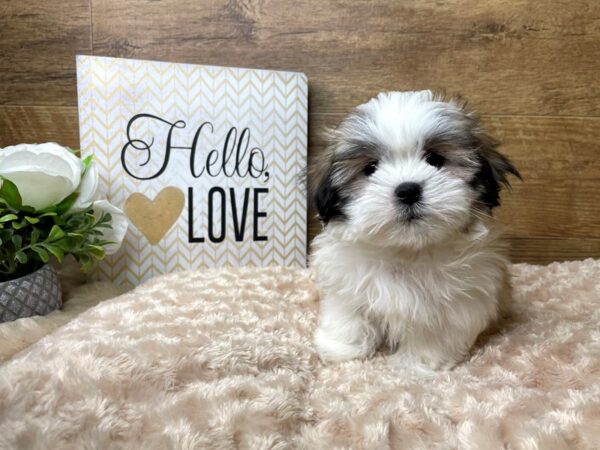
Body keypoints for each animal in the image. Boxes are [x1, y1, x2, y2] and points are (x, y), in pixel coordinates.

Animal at [310, 89, 520, 370]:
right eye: (370, 168)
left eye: (434, 159)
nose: (408, 190)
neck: (407, 251)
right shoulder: (346, 285)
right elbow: (350, 316)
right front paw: (343, 349)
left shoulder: (459, 300)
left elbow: (434, 333)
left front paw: (418, 363)